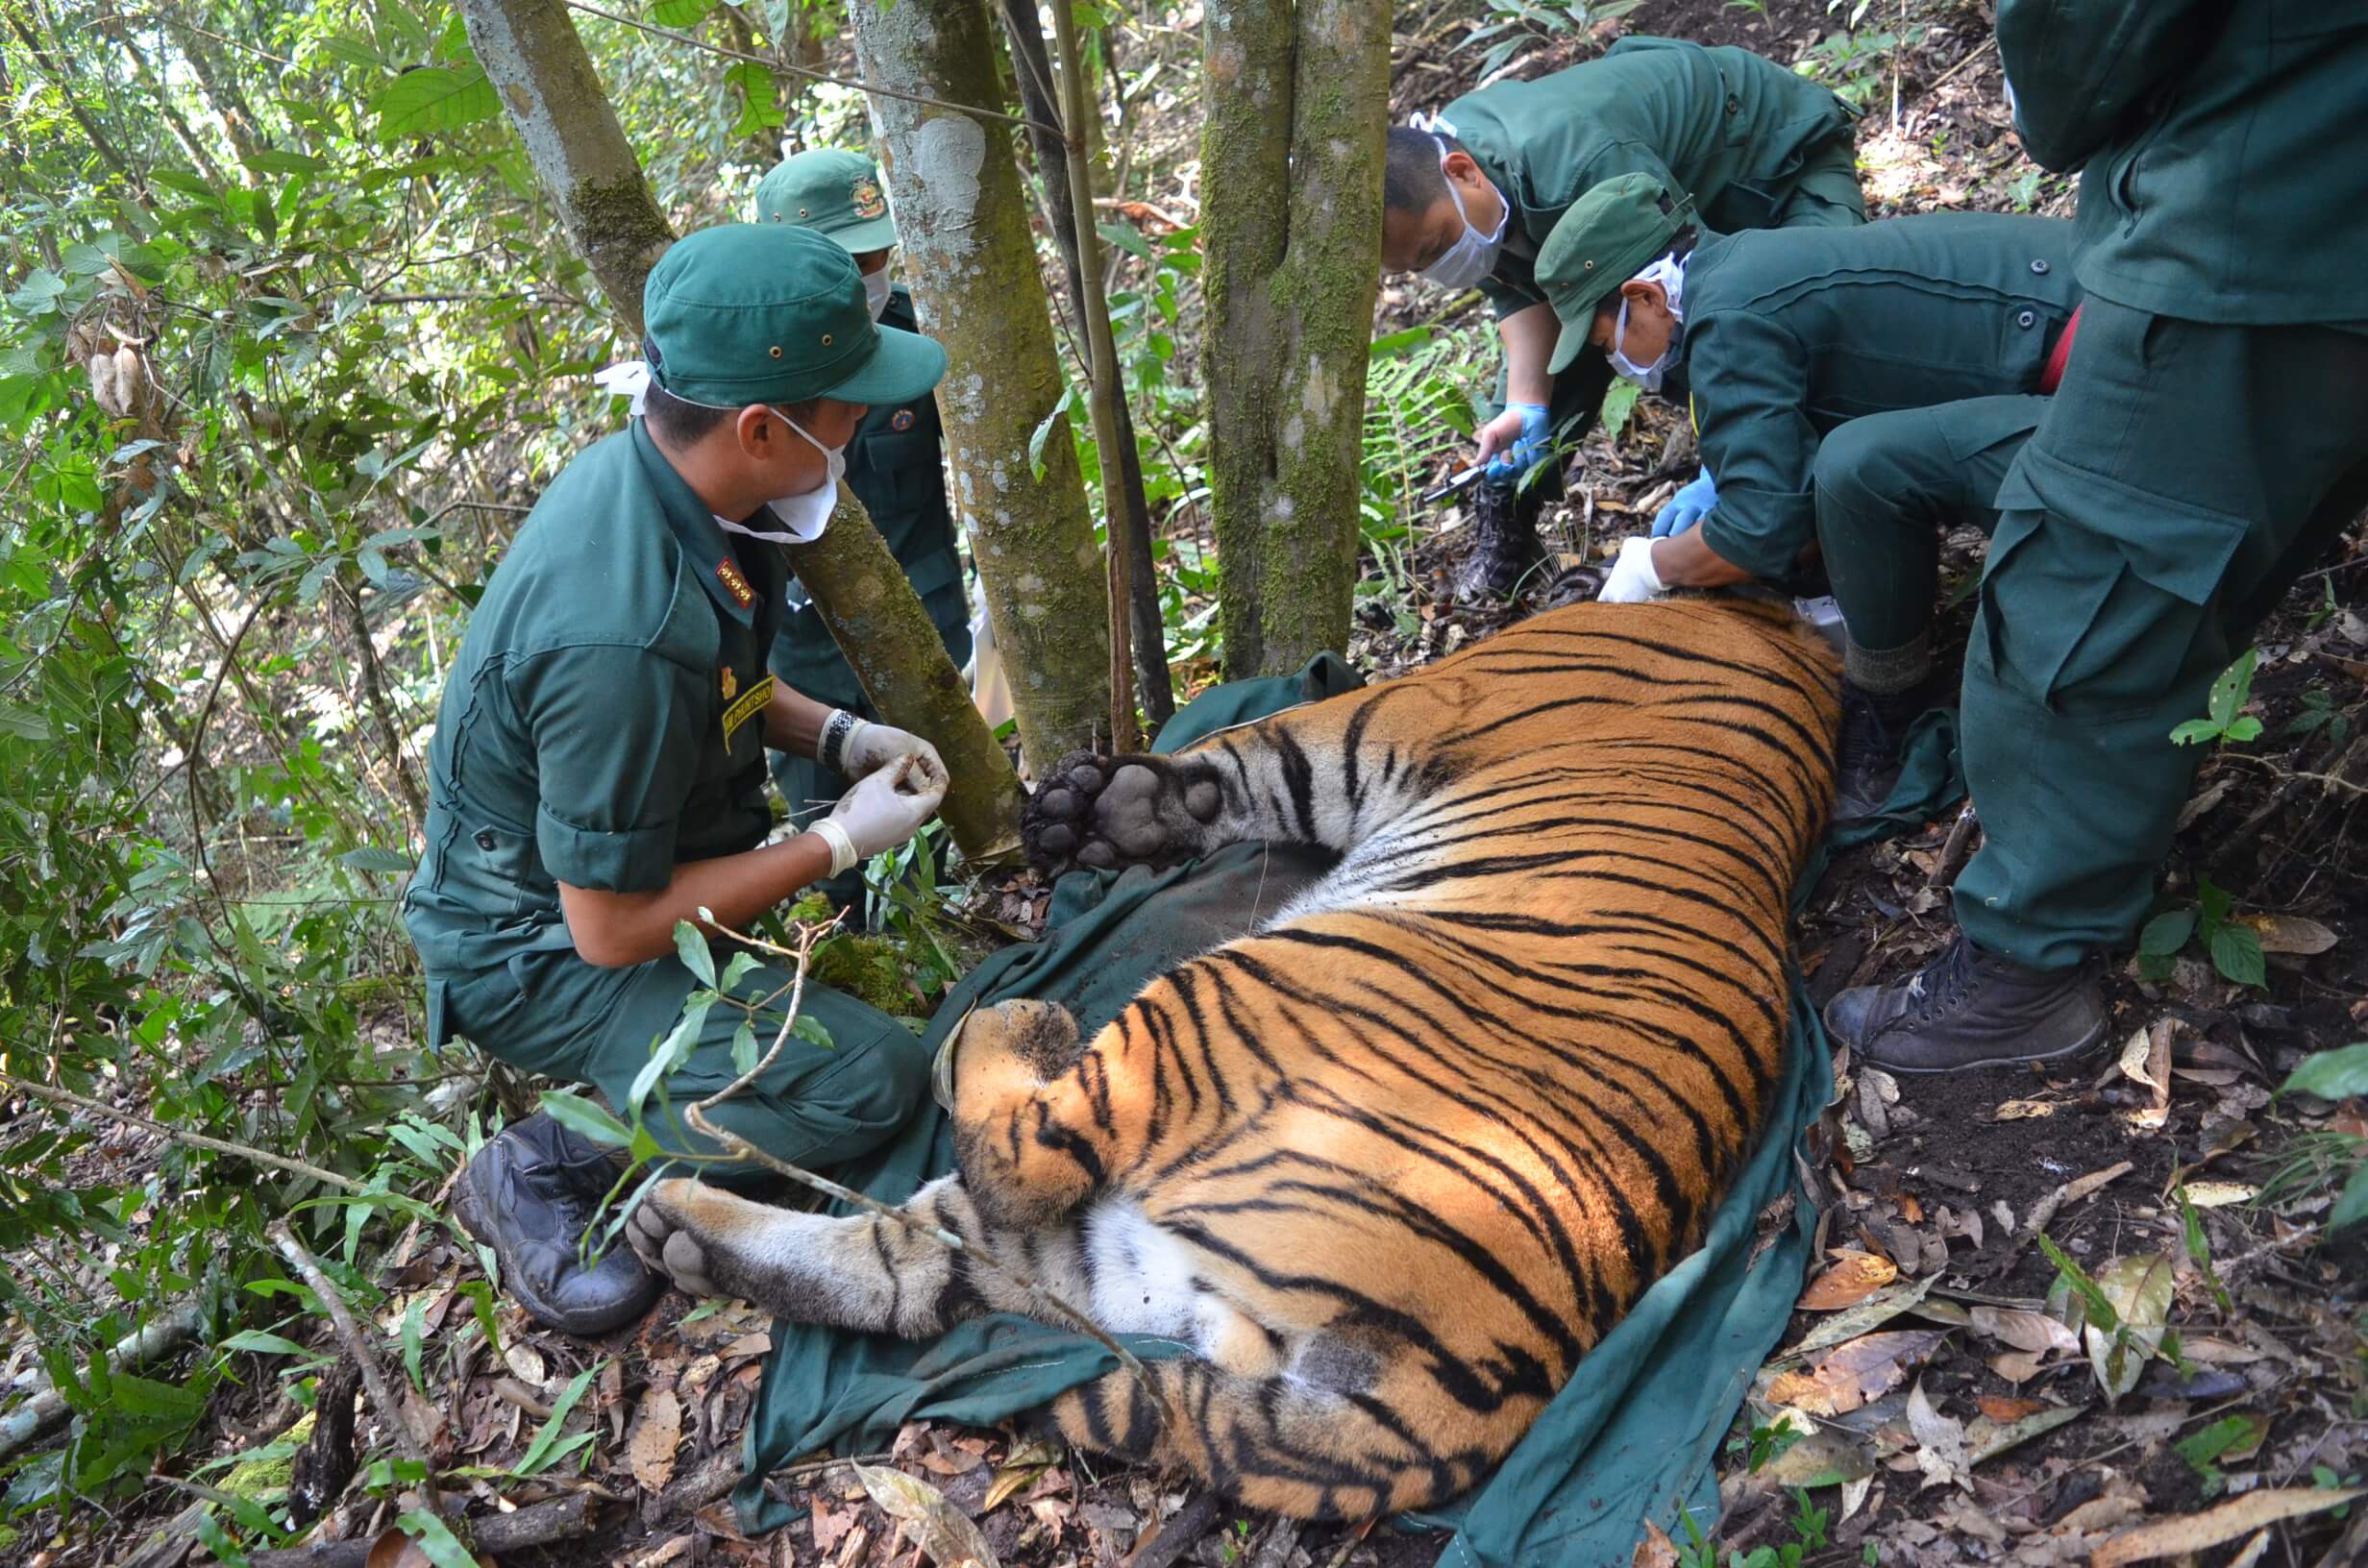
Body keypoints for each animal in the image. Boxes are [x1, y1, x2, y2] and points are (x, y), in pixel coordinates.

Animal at [634, 599, 1846, 1525]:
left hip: (1217, 1007)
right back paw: (675, 1231)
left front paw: (1112, 806)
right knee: (915, 1266)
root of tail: (1489, 1384)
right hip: (1119, 1252)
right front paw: (1116, 809)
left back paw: (1011, 1021)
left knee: (1013, 1165)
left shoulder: (1394, 707)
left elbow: (1262, 742)